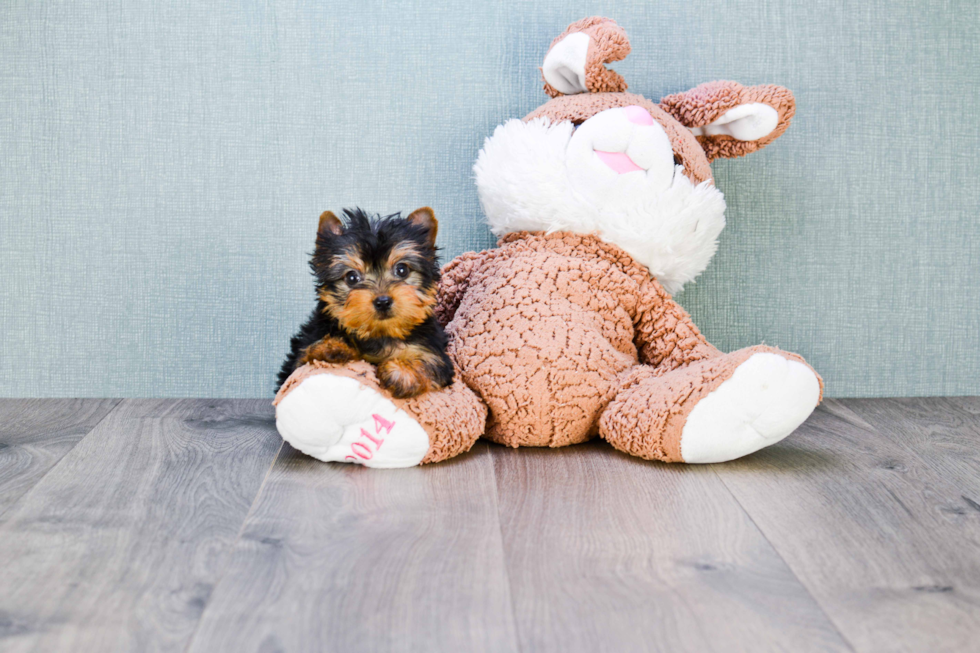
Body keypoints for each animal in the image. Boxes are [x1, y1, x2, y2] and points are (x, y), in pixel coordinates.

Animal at [278, 208, 454, 398]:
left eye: (402, 270)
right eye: (351, 277)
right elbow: (304, 359)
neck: (378, 333)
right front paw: (330, 346)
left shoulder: (432, 350)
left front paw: (400, 373)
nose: (383, 301)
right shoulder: (302, 353)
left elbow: (430, 364)